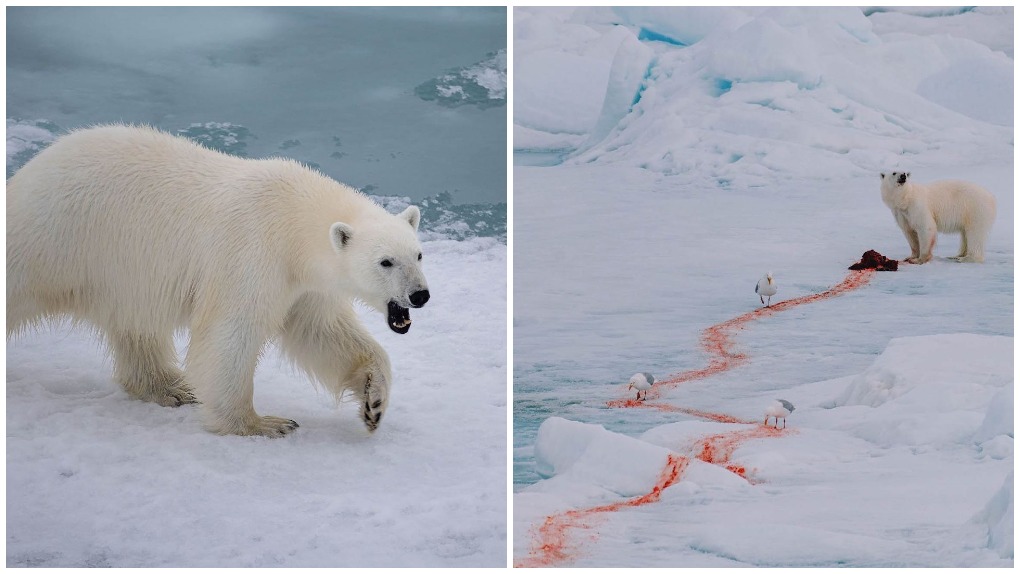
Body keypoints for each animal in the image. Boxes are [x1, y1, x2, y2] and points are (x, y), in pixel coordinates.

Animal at [4, 125, 426, 438]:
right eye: (386, 262)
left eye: (418, 255)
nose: (420, 294)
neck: (293, 218)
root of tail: (30, 169)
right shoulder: (252, 253)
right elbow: (231, 333)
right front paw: (262, 423)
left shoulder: (303, 284)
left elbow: (321, 332)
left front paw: (374, 401)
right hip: (53, 238)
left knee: (136, 327)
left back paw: (171, 387)